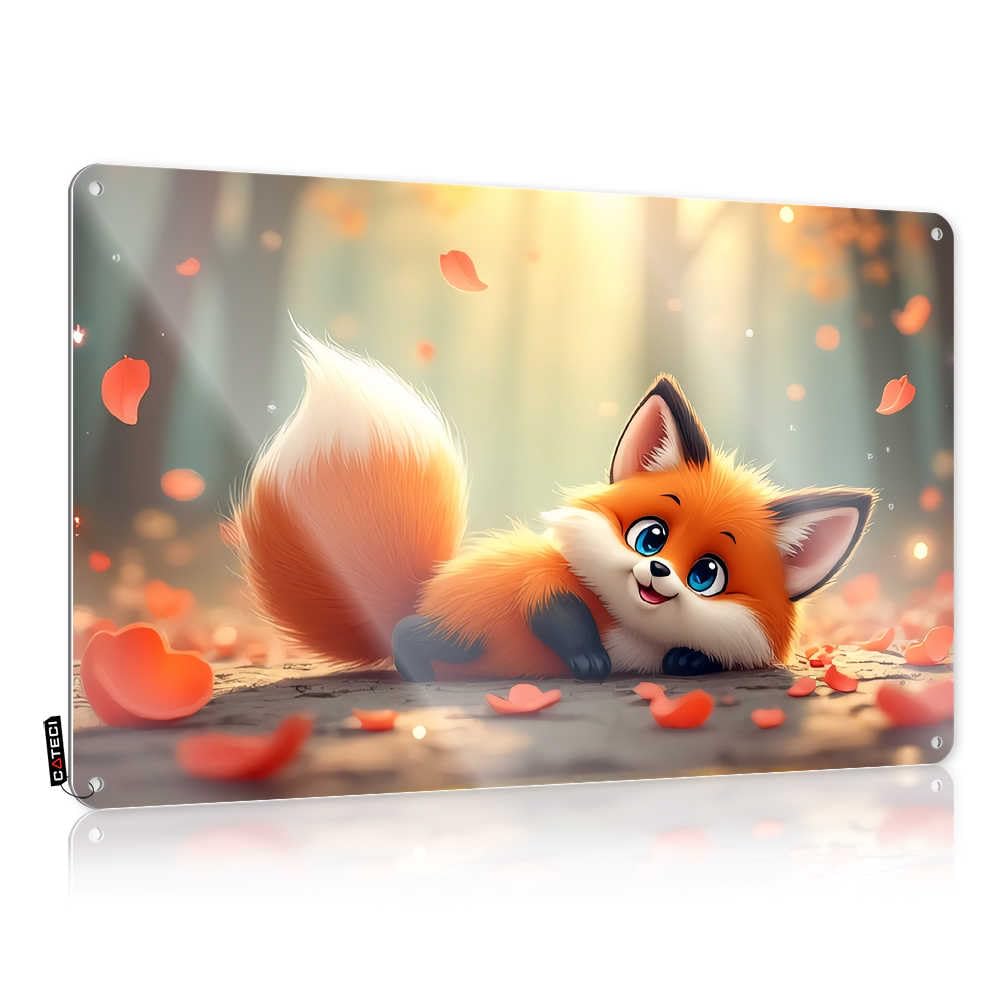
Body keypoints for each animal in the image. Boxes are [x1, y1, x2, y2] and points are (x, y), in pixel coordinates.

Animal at [233, 325, 875, 681]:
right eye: (650, 536)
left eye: (707, 575)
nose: (657, 572)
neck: (632, 629)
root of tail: (427, 588)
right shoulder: (540, 582)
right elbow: (552, 610)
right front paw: (588, 659)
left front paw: (688, 661)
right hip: (464, 632)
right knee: (410, 635)